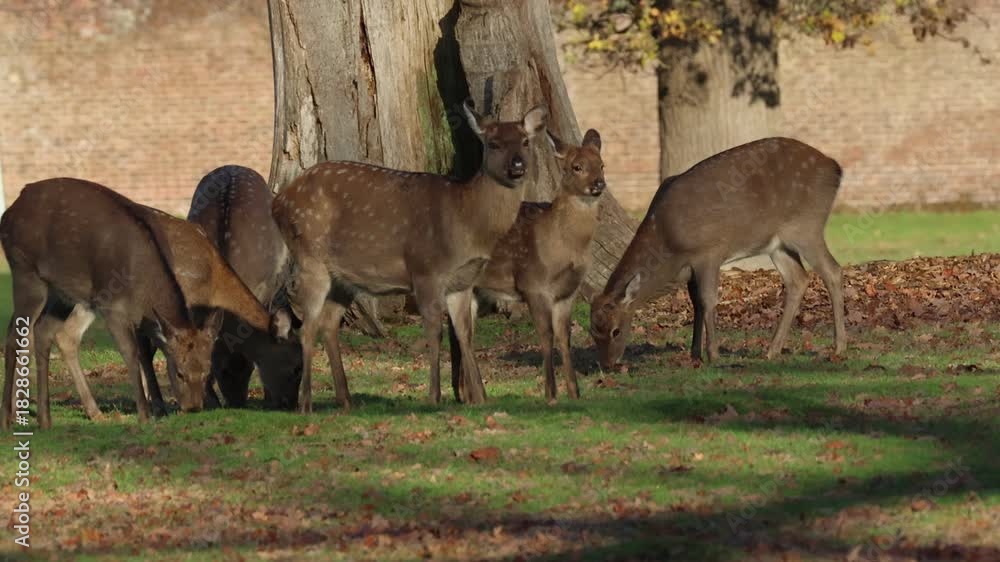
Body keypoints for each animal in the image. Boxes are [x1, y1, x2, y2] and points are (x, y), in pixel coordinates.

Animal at [0, 178, 284, 427]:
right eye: (289, 358)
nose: (240, 402)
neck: (213, 279)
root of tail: (11, 210)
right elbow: (143, 351)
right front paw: (159, 407)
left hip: (65, 295)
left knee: (47, 332)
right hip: (36, 280)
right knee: (33, 333)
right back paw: (13, 416)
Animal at [272, 101, 549, 412]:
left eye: (525, 141)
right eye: (494, 143)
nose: (518, 165)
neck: (466, 222)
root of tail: (277, 202)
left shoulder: (463, 281)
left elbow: (465, 333)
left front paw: (480, 398)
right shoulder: (425, 269)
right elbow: (434, 331)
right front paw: (434, 396)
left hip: (342, 277)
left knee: (329, 324)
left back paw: (346, 400)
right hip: (310, 257)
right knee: (306, 328)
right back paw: (305, 403)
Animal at [449, 129, 606, 402]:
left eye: (602, 164)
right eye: (577, 167)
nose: (599, 184)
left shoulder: (567, 292)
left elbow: (564, 337)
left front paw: (575, 393)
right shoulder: (534, 284)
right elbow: (546, 335)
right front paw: (551, 394)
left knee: (463, 334)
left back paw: (468, 396)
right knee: (461, 333)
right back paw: (479, 396)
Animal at [590, 137, 847, 370]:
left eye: (616, 331)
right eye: (592, 331)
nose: (607, 365)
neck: (670, 244)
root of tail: (835, 168)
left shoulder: (709, 252)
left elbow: (708, 299)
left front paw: (713, 355)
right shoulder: (691, 267)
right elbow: (696, 303)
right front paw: (695, 353)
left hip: (806, 226)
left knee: (832, 270)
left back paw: (839, 347)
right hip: (778, 244)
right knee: (798, 280)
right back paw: (772, 350)